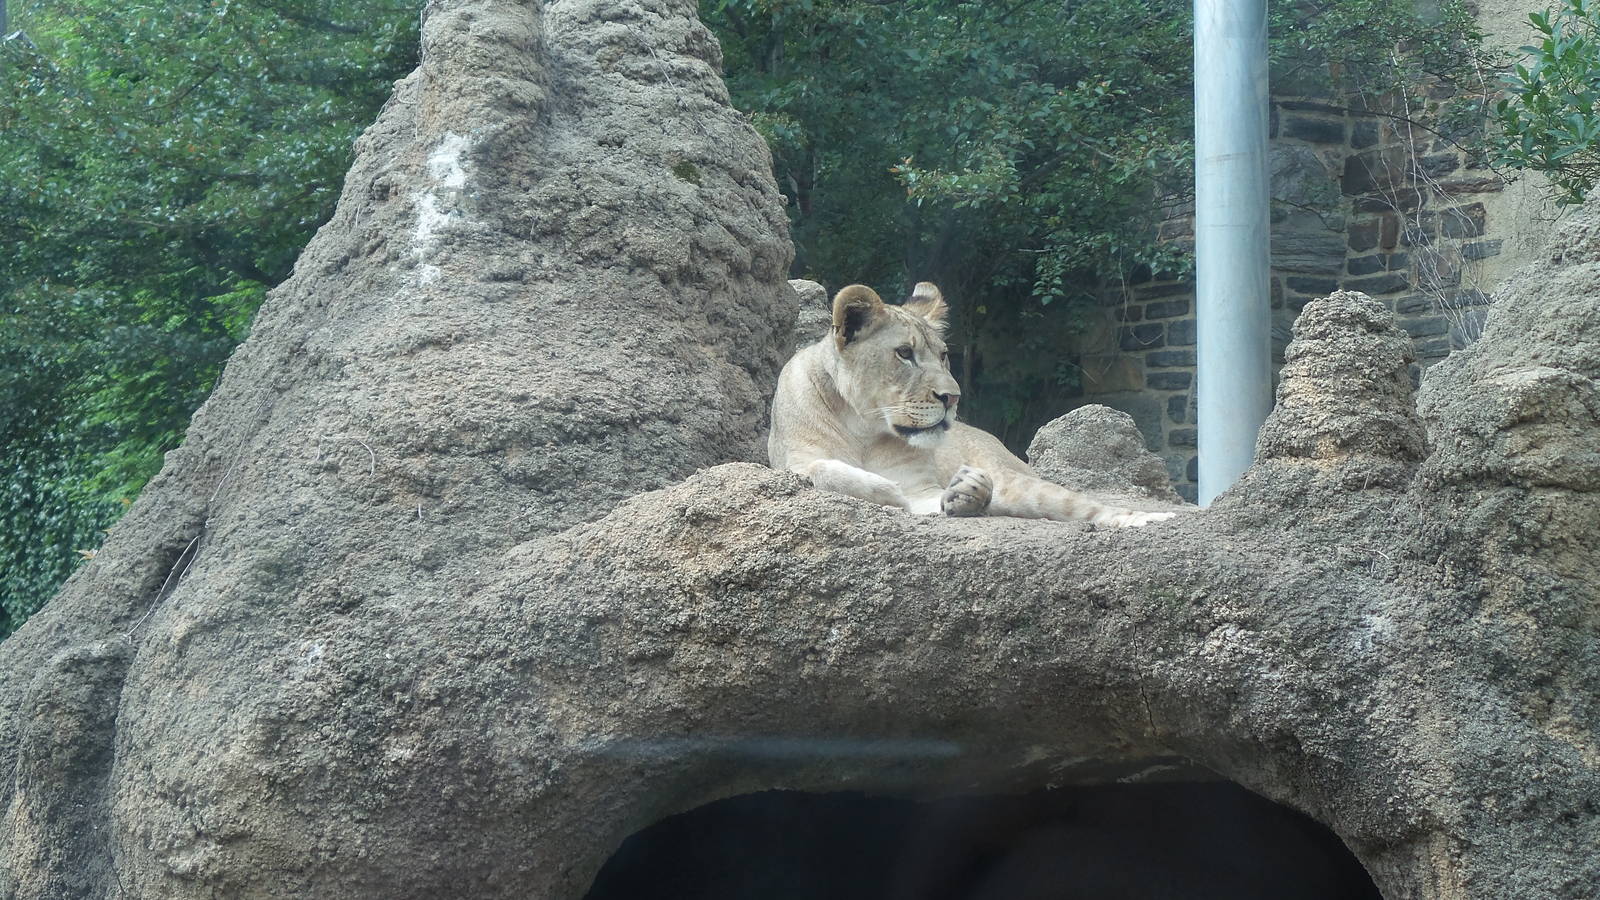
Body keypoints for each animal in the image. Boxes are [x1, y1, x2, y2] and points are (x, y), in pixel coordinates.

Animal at [768, 282, 1176, 527]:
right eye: (904, 353)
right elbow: (822, 469)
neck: (864, 428)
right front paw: (884, 489)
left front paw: (967, 492)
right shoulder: (792, 462)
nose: (952, 398)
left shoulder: (922, 492)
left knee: (1085, 506)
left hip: (1022, 482)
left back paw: (1151, 519)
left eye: (943, 355)